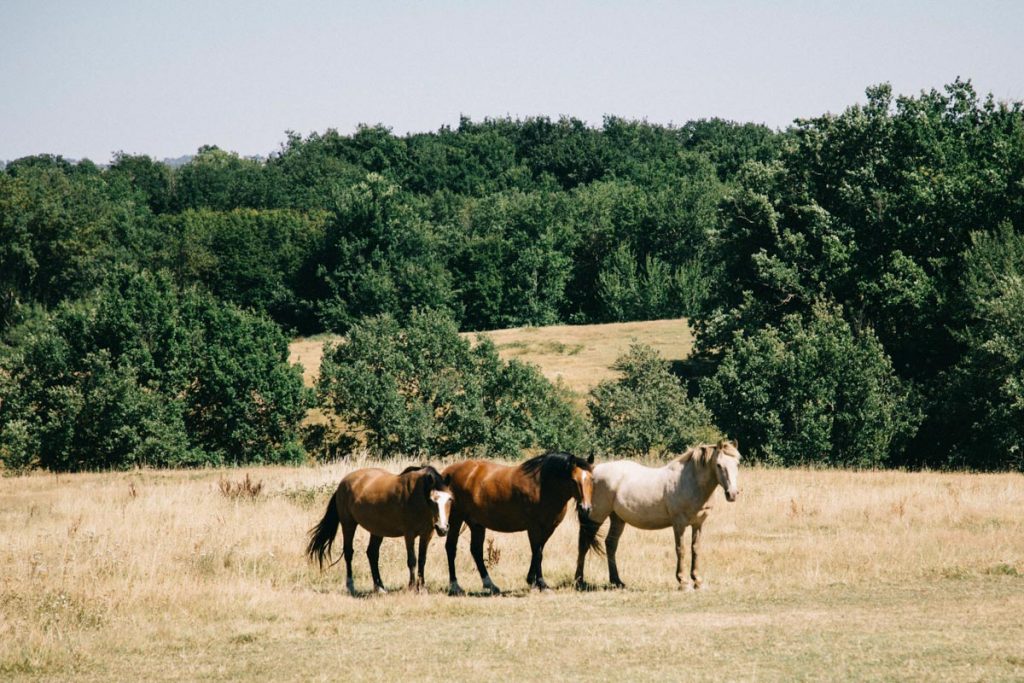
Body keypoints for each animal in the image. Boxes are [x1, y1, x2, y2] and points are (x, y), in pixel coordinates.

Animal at [306, 465, 454, 595]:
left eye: (450, 500)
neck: (418, 496)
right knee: (348, 553)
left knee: (372, 553)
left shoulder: (427, 534)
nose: (442, 528)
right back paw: (351, 586)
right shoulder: (409, 534)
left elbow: (422, 560)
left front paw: (422, 588)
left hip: (377, 530)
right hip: (348, 524)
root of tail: (342, 484)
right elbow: (412, 560)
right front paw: (412, 588)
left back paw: (379, 587)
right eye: (432, 500)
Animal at [442, 452, 595, 595]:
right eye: (573, 480)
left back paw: (490, 585)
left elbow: (538, 551)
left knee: (476, 551)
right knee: (451, 548)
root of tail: (447, 472)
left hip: (476, 524)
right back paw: (455, 586)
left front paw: (532, 580)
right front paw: (542, 584)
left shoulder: (548, 528)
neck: (543, 486)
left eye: (591, 479)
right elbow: (538, 553)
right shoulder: (534, 528)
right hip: (456, 519)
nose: (585, 508)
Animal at [575, 440, 741, 590]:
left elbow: (695, 549)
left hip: (617, 518)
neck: (689, 482)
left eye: (737, 464)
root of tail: (592, 471)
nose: (732, 494)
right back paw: (580, 582)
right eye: (719, 465)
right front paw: (683, 582)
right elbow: (681, 549)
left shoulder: (698, 524)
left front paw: (698, 581)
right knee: (584, 544)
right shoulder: (679, 524)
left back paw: (617, 581)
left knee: (610, 544)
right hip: (596, 516)